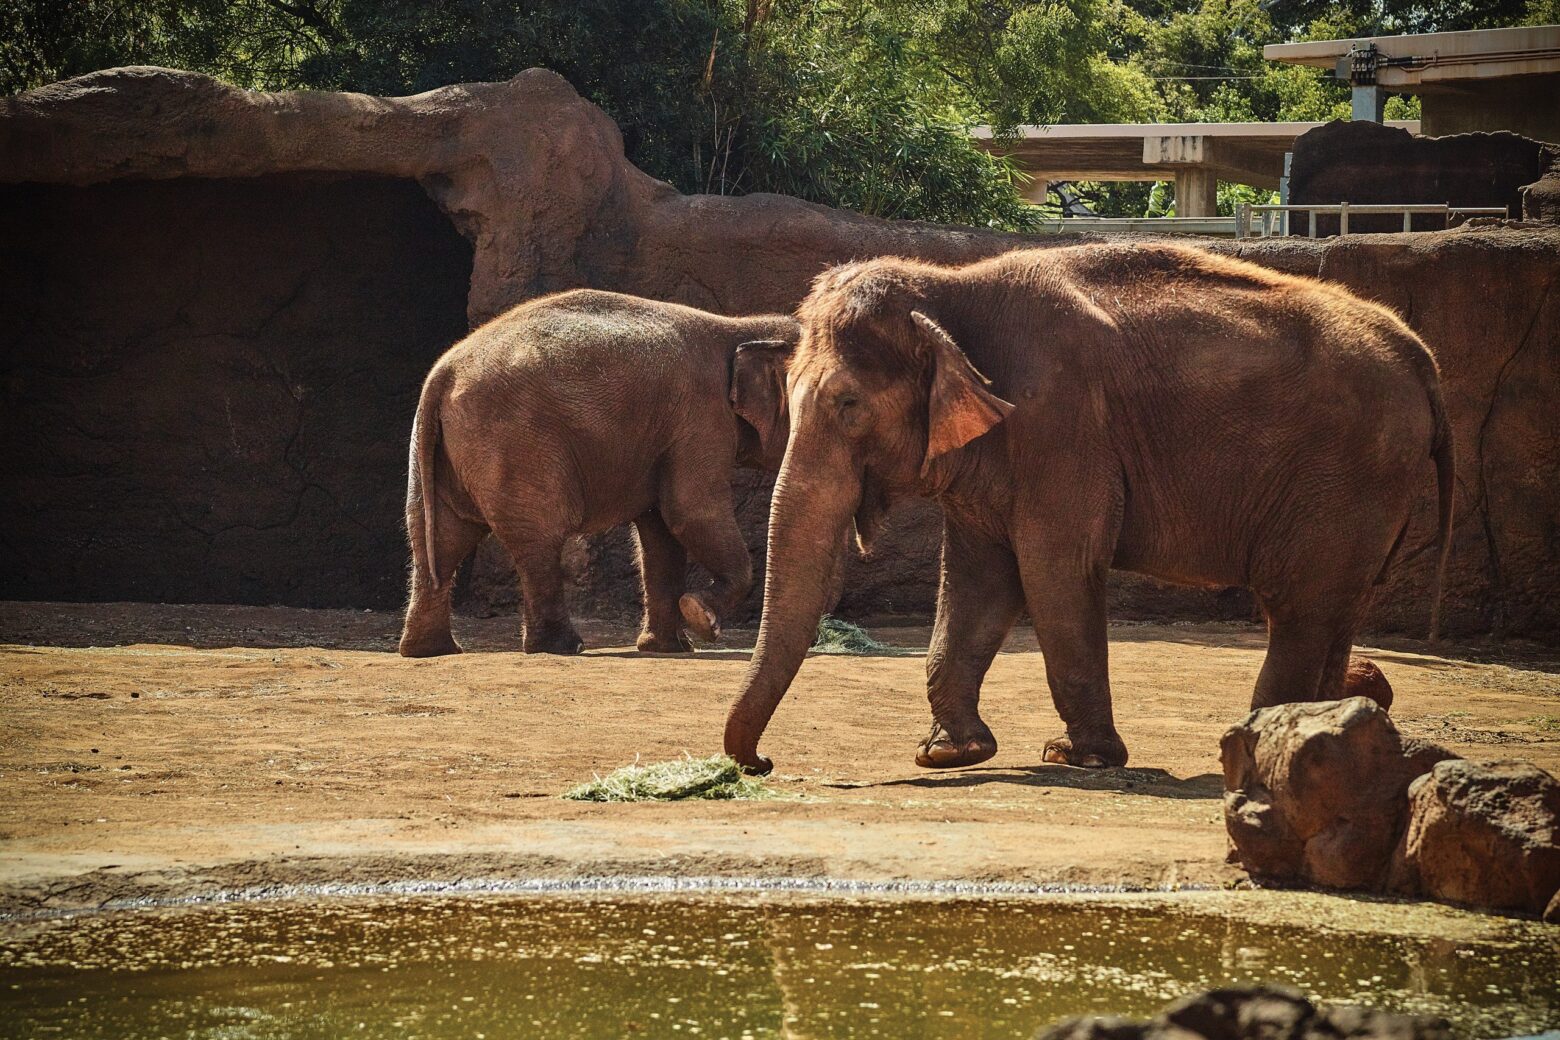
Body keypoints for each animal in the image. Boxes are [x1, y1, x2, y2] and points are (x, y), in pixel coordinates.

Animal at [396, 288, 798, 654]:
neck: (741, 326)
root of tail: (442, 374)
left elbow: (660, 533)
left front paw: (667, 647)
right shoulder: (701, 418)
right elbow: (690, 512)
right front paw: (701, 618)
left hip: (440, 448)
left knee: (437, 537)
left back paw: (431, 650)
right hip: (516, 444)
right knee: (539, 538)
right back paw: (562, 646)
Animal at [723, 244, 1453, 776]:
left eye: (848, 405)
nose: (761, 764)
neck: (950, 289)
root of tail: (1420, 354)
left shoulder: (1060, 423)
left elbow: (1053, 569)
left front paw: (1079, 758)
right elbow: (979, 582)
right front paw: (951, 754)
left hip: (1345, 475)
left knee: (1298, 607)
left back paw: (1256, 750)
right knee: (1335, 609)